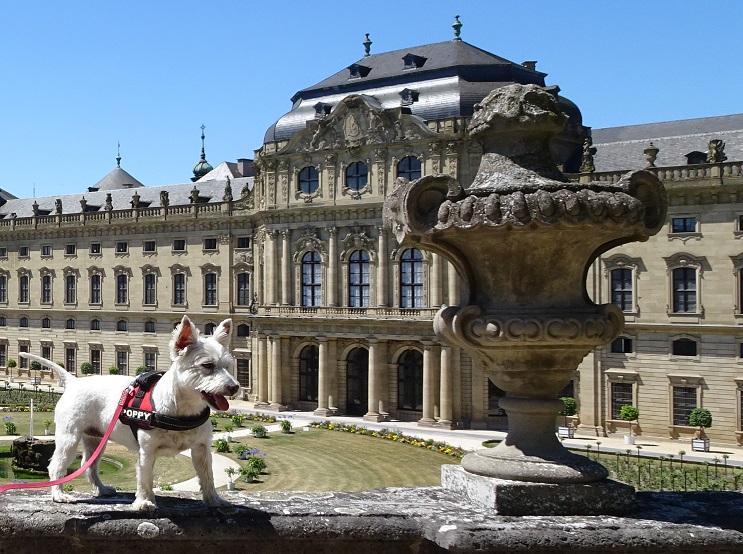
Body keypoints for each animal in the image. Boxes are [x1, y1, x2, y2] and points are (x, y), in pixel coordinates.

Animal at [20, 314, 240, 508]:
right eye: (207, 365)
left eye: (228, 366)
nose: (235, 387)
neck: (181, 410)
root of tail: (73, 381)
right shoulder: (147, 452)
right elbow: (145, 478)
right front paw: (144, 502)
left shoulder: (202, 448)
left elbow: (207, 475)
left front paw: (214, 500)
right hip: (69, 437)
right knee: (56, 465)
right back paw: (59, 494)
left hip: (96, 440)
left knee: (90, 465)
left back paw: (101, 489)